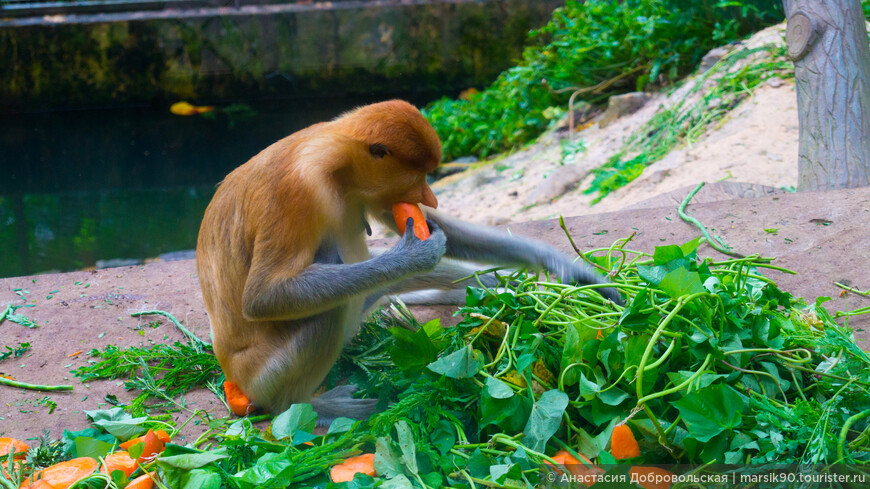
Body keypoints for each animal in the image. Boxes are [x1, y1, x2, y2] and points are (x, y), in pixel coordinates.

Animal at [198, 98, 620, 420]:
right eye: (418, 174)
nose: (430, 197)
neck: (330, 157)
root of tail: (234, 374)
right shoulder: (295, 193)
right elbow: (263, 296)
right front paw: (415, 254)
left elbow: (442, 232)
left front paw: (570, 270)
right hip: (267, 374)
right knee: (328, 308)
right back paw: (308, 406)